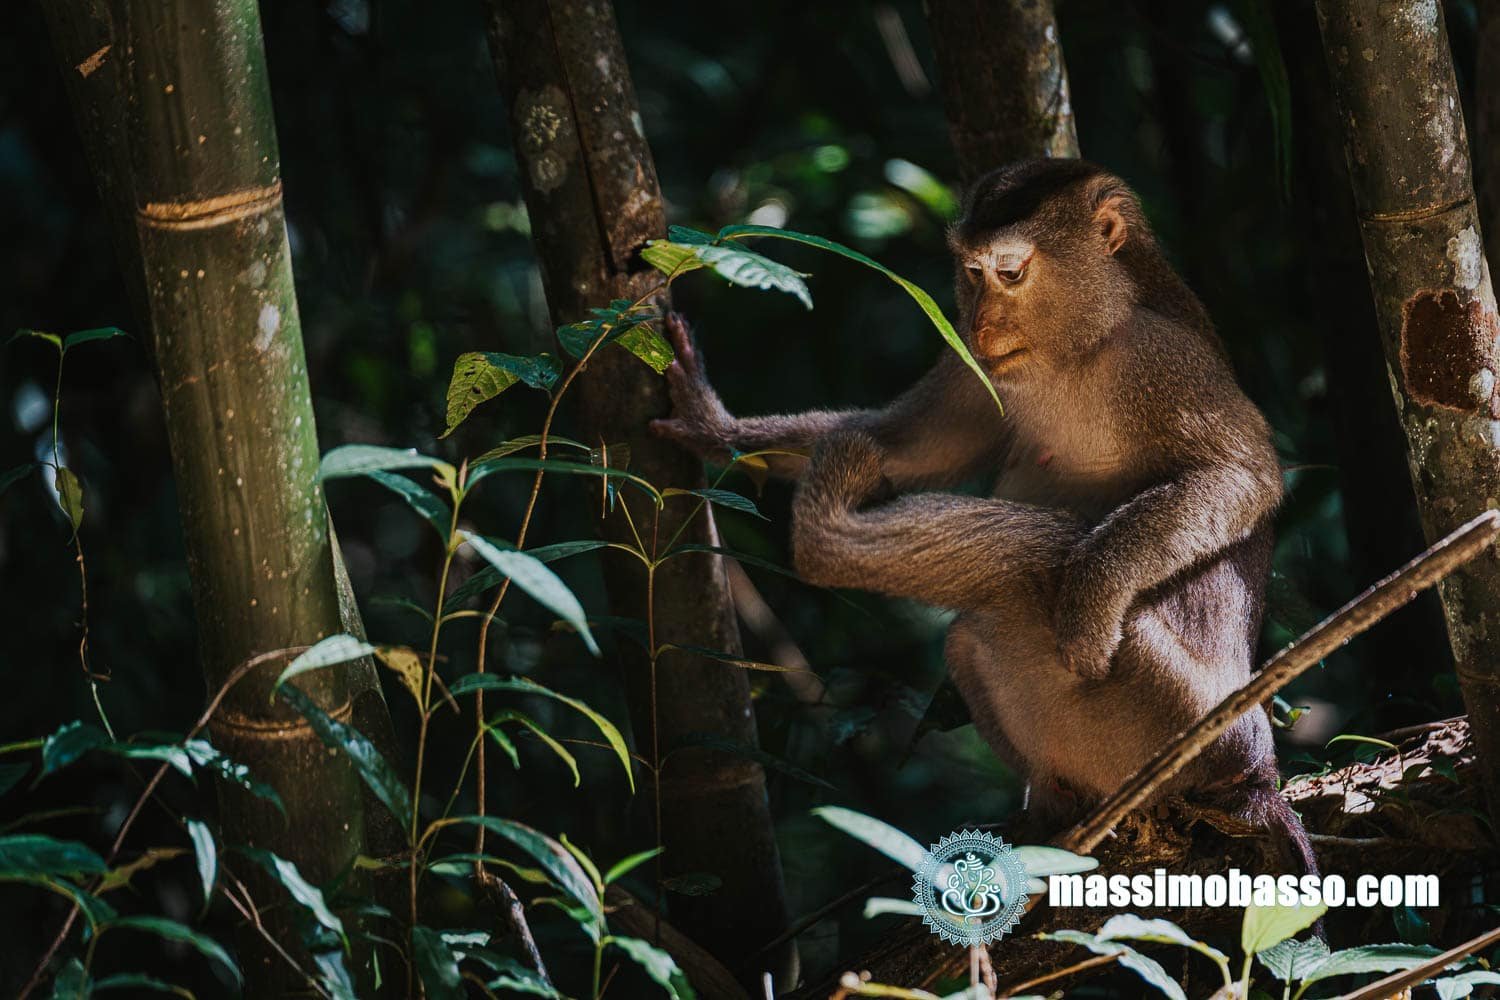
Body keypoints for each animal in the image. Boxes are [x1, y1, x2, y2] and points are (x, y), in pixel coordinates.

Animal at [651, 158, 1316, 876]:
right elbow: (902, 446)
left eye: (1011, 272)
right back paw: (1053, 806)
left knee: (1044, 560)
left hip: (1180, 720)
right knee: (971, 634)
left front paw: (1091, 597)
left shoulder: (1161, 359)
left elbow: (1242, 475)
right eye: (972, 273)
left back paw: (828, 536)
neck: (1082, 345)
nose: (982, 324)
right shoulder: (975, 364)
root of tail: (1254, 776)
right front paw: (713, 425)